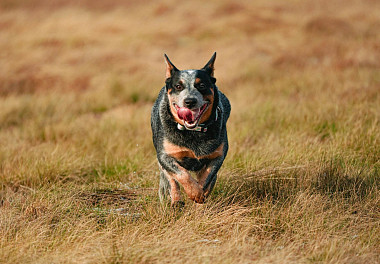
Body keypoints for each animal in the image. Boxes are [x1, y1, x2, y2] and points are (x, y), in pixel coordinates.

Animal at [151, 52, 229, 206]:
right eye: (178, 86)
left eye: (202, 85)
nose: (190, 101)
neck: (193, 131)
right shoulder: (164, 156)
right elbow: (181, 174)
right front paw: (194, 193)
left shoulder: (218, 155)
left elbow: (207, 178)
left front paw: (200, 195)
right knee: (171, 180)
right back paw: (176, 202)